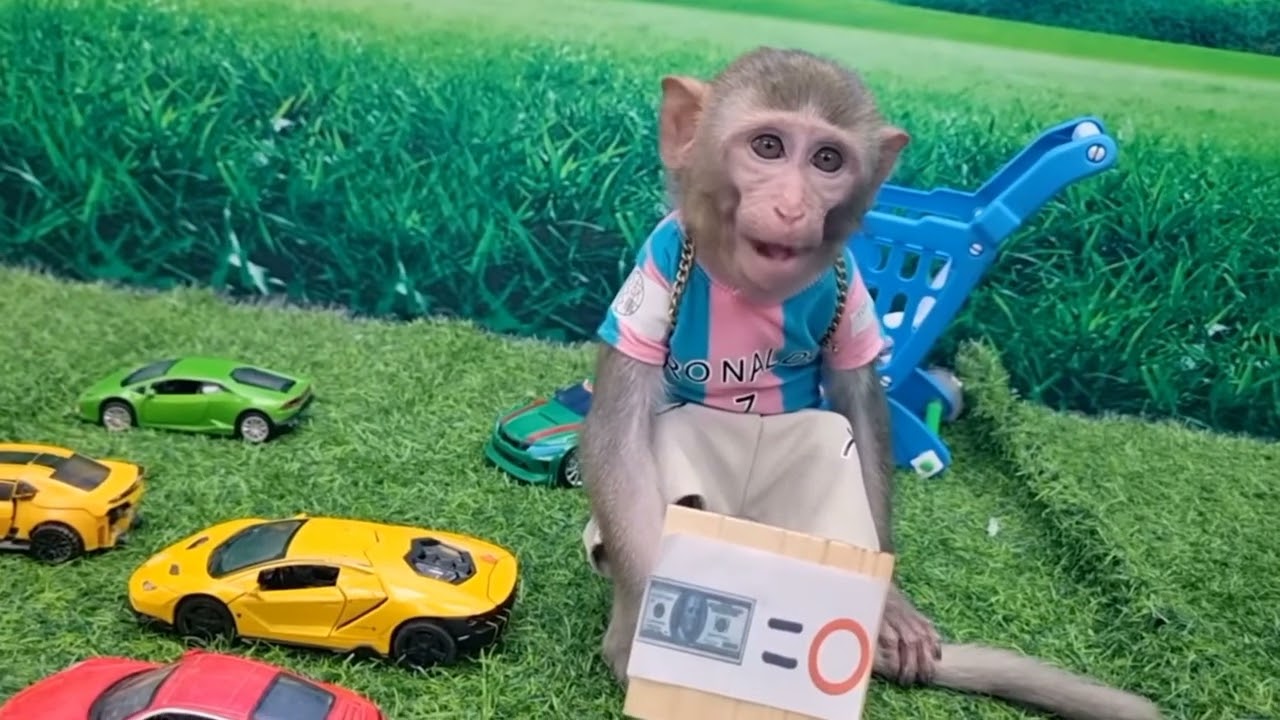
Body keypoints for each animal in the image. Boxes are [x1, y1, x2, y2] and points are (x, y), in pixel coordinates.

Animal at [577, 47, 1164, 720]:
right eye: (768, 147)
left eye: (827, 160)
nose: (793, 208)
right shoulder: (655, 271)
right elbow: (619, 435)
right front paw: (646, 626)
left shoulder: (850, 283)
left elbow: (861, 406)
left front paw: (893, 605)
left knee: (831, 440)